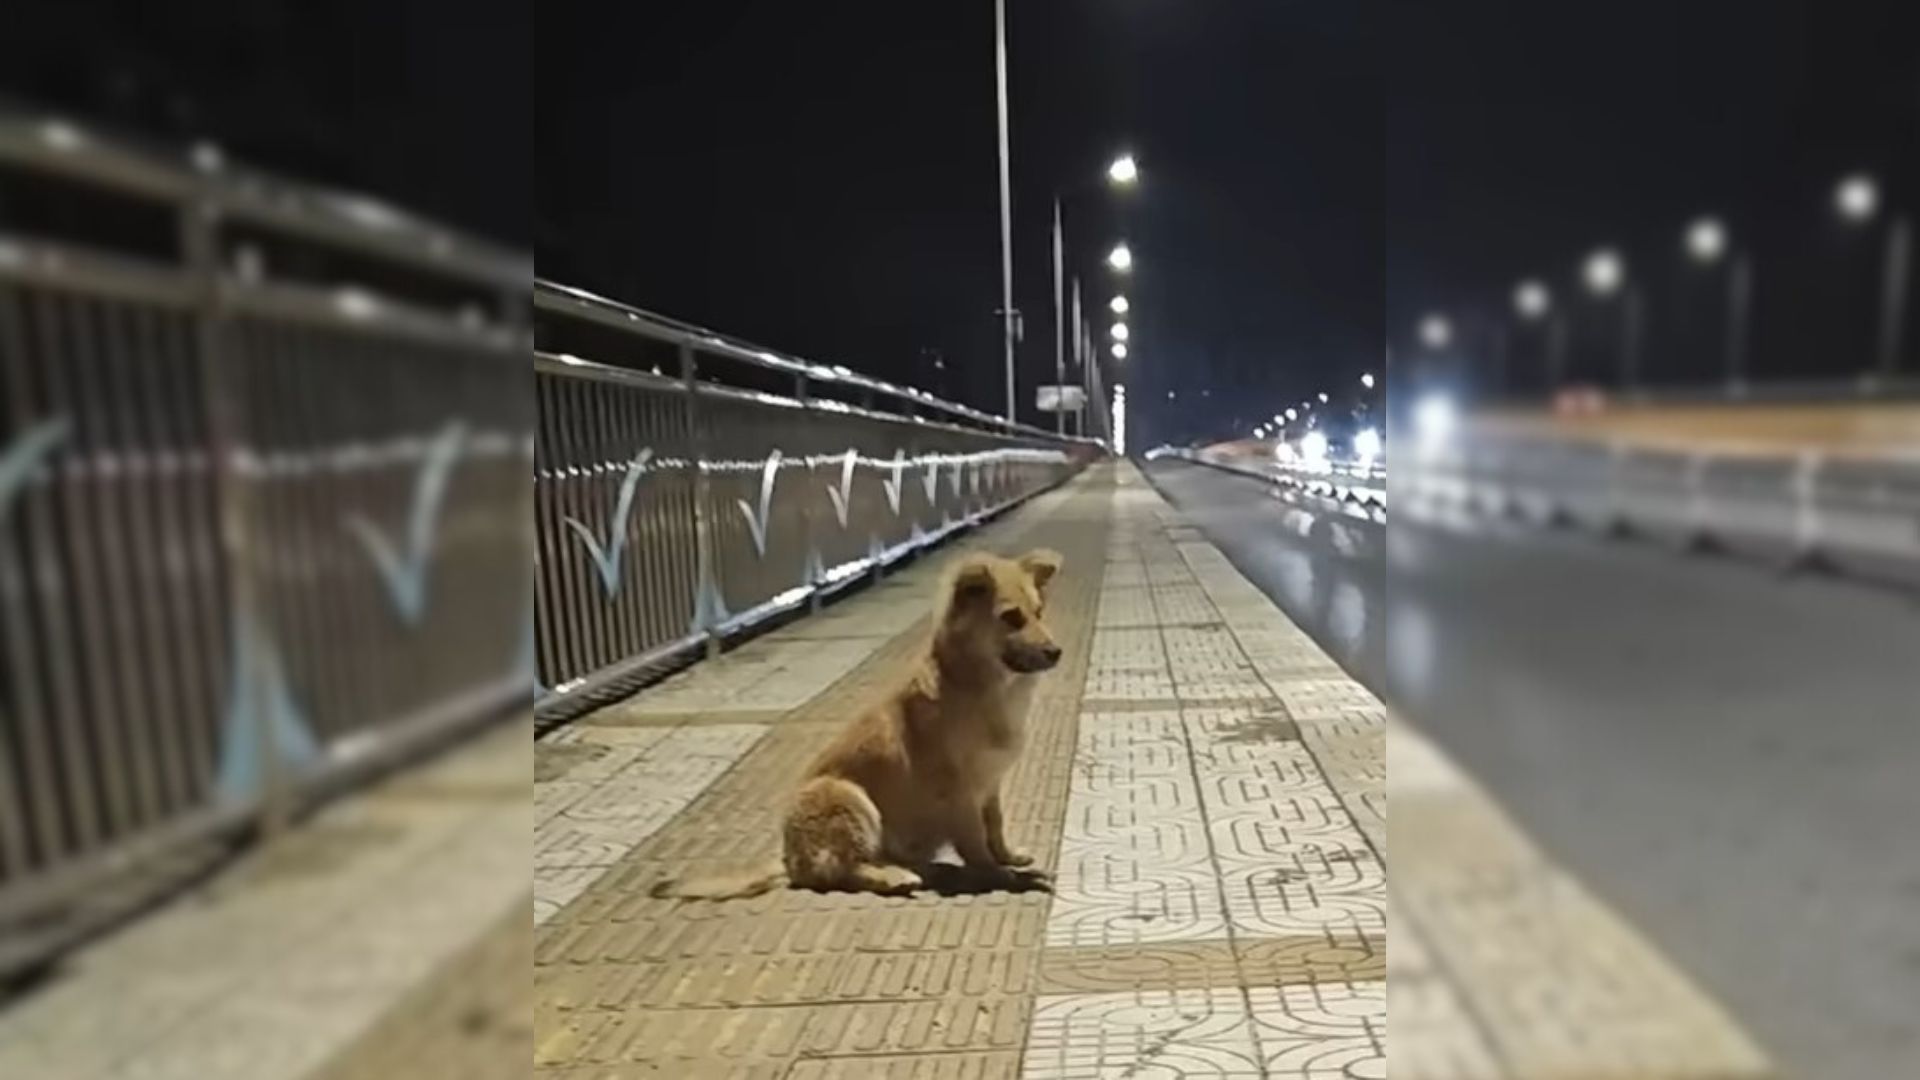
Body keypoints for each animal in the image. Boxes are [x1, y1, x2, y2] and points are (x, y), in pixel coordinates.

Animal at [648, 541, 1067, 895]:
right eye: (1011, 617)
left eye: (1038, 613)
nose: (1056, 652)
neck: (982, 687)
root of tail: (789, 860)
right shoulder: (958, 790)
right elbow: (976, 840)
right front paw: (997, 873)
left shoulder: (990, 783)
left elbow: (994, 825)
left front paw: (1009, 856)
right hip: (846, 796)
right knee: (845, 870)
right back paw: (897, 877)